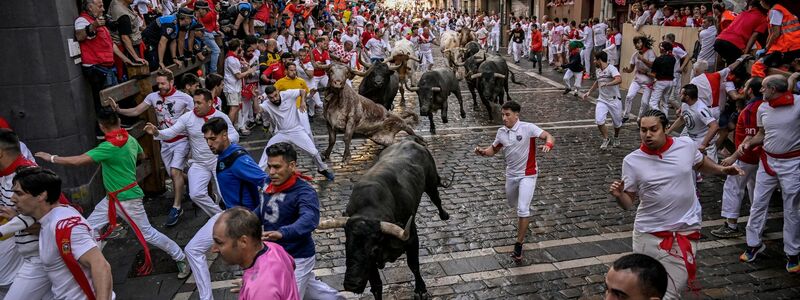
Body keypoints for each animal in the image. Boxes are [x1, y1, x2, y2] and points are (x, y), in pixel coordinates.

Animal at [316, 138, 450, 300]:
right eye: (347, 245)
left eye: (373, 250)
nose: (351, 284)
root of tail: (410, 141)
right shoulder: (371, 266)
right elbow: (376, 285)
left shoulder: (412, 238)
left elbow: (413, 265)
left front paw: (421, 290)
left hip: (430, 184)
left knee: (436, 199)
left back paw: (444, 215)